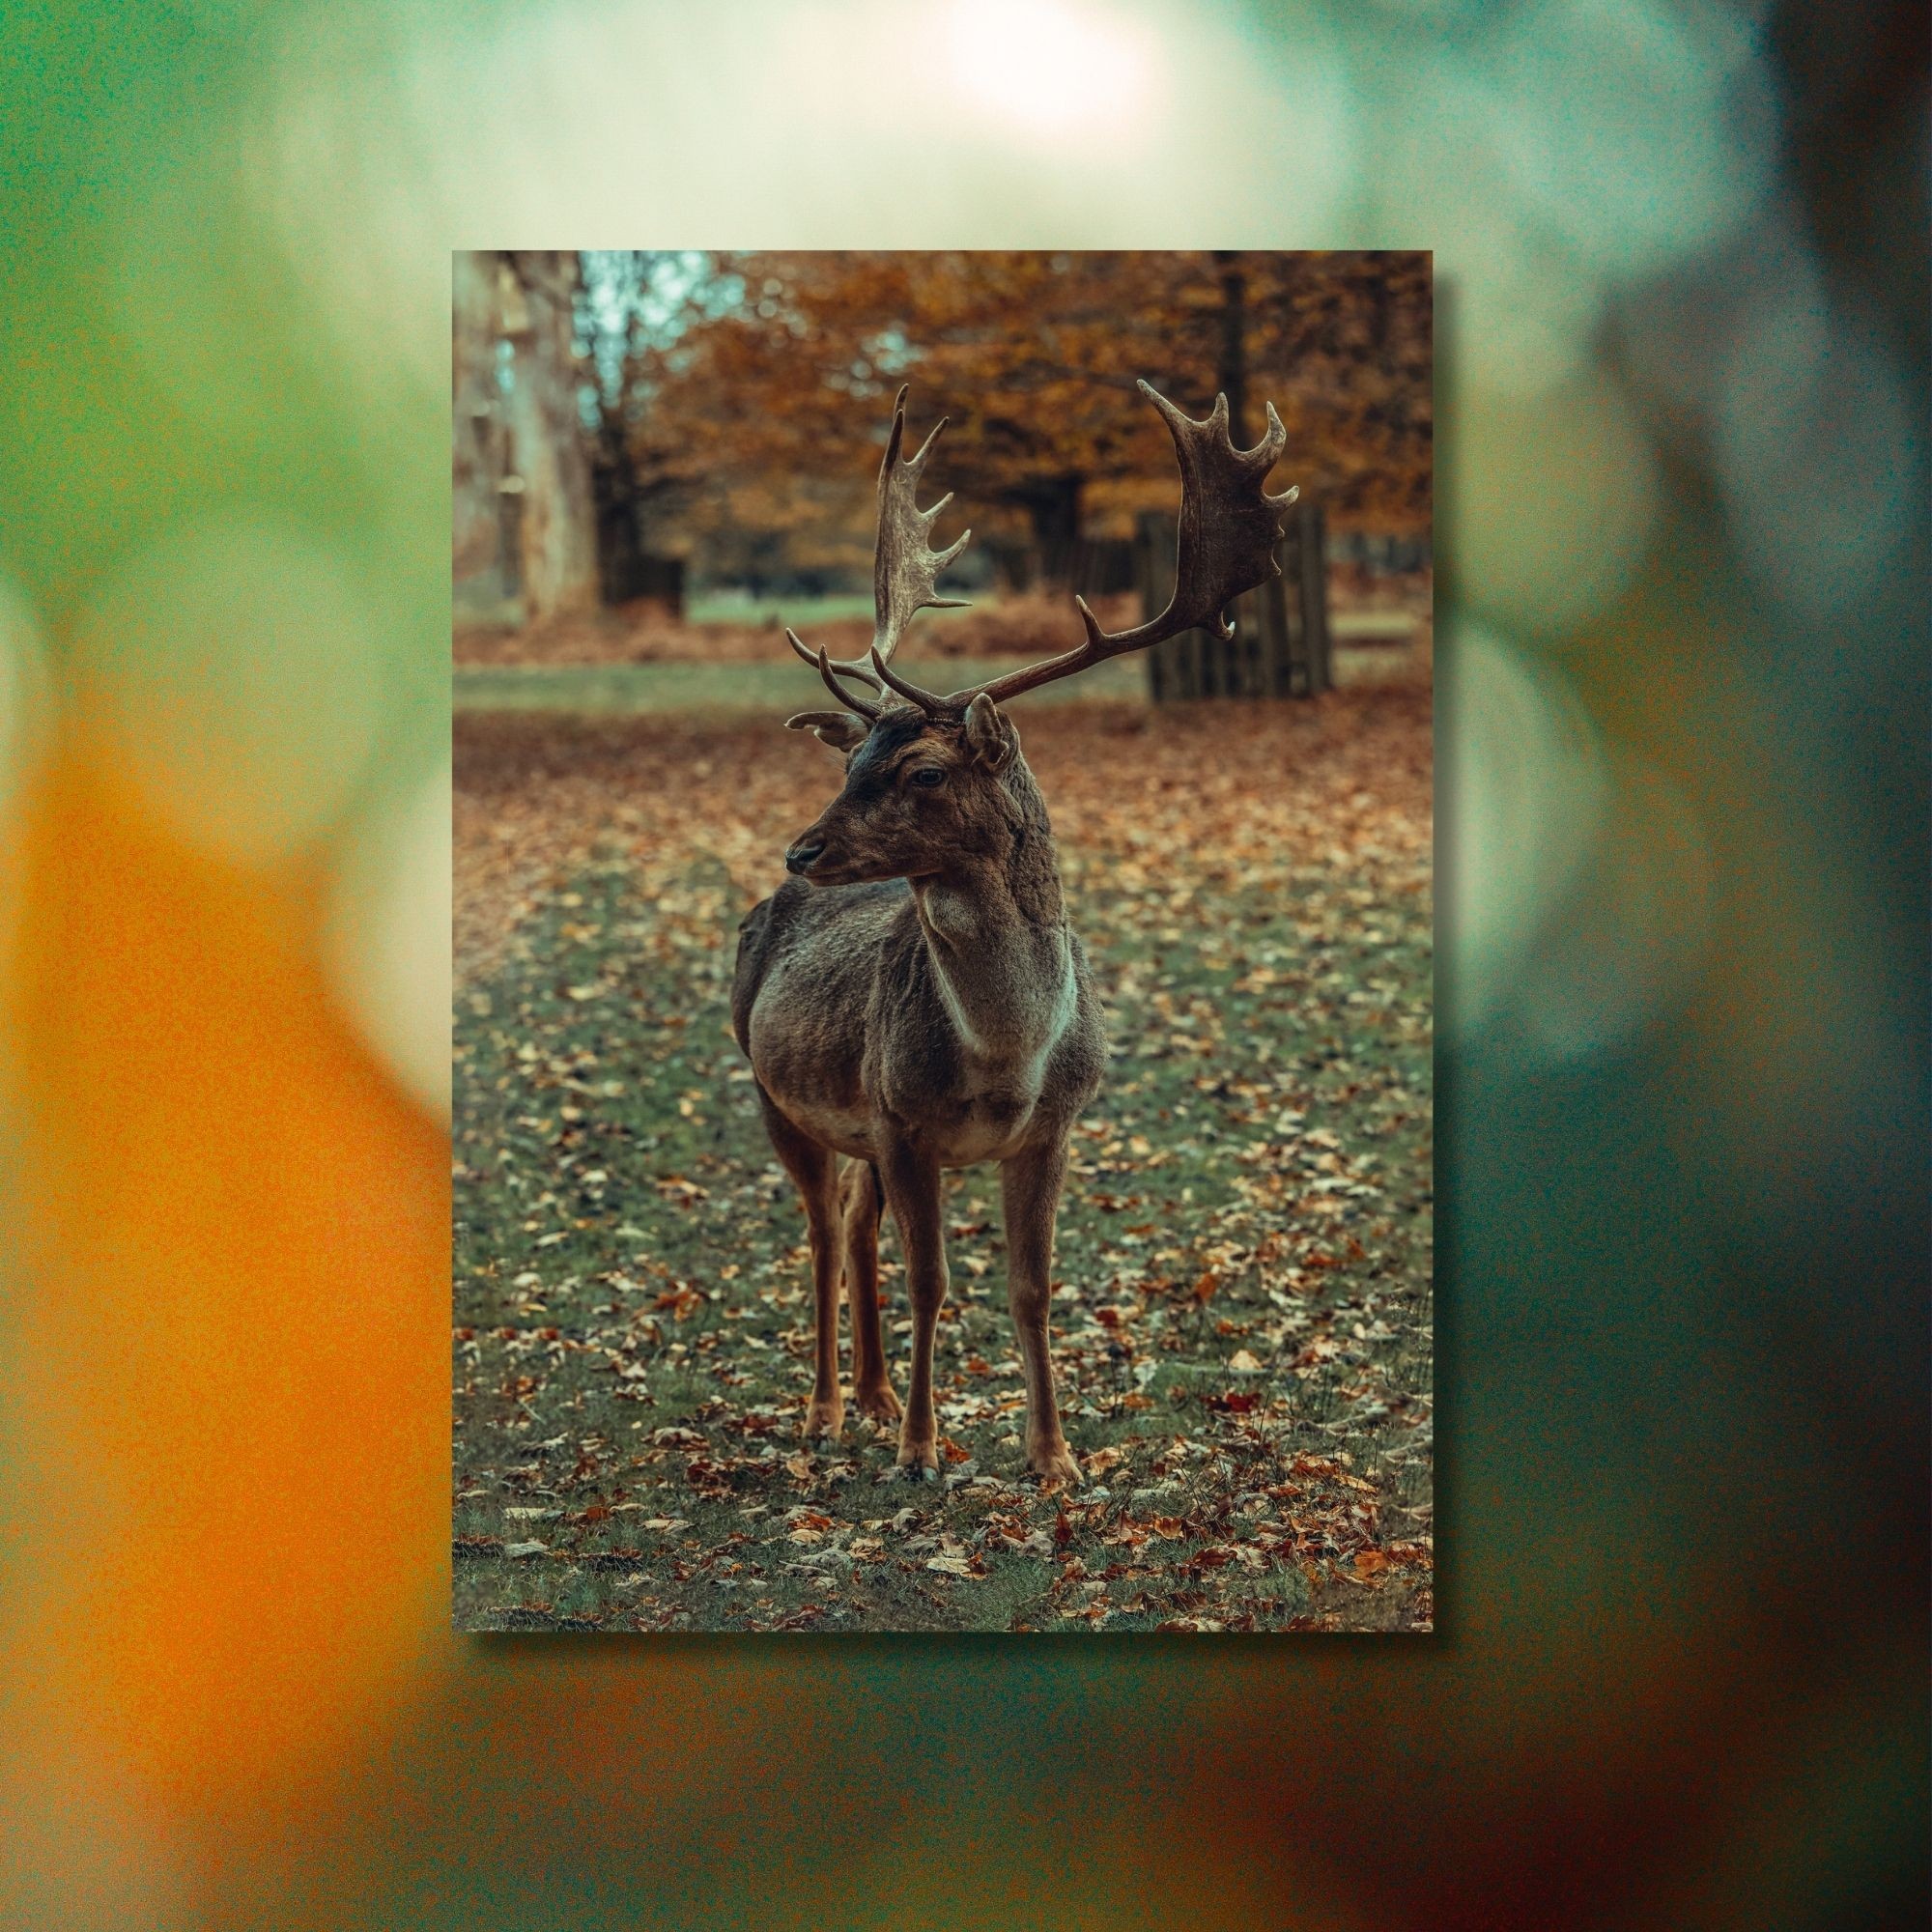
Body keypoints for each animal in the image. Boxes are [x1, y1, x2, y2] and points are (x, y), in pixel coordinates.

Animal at [726, 384, 1298, 1484]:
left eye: (922, 771)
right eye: (849, 760)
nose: (800, 850)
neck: (1005, 1055)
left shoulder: (1053, 1125)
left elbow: (1031, 1287)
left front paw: (1053, 1457)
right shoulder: (902, 1119)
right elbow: (933, 1282)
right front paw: (922, 1451)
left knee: (851, 1223)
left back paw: (870, 1398)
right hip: (773, 1088)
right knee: (818, 1231)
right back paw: (827, 1410)